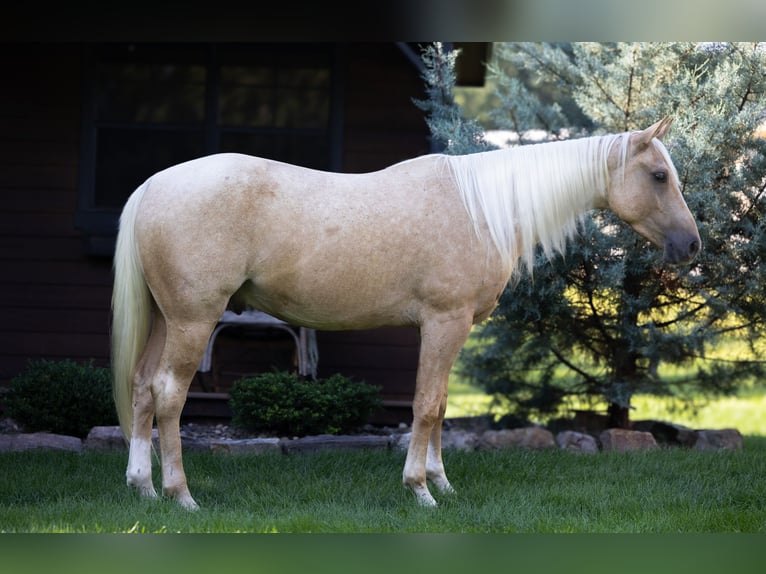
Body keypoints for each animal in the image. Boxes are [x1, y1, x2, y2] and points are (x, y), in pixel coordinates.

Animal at [111, 116, 700, 509]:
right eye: (658, 175)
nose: (692, 246)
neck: (480, 208)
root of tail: (153, 184)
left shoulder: (449, 330)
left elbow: (439, 407)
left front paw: (442, 483)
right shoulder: (444, 322)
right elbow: (424, 406)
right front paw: (420, 490)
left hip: (166, 319)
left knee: (141, 386)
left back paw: (142, 487)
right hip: (193, 320)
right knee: (168, 393)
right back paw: (180, 494)